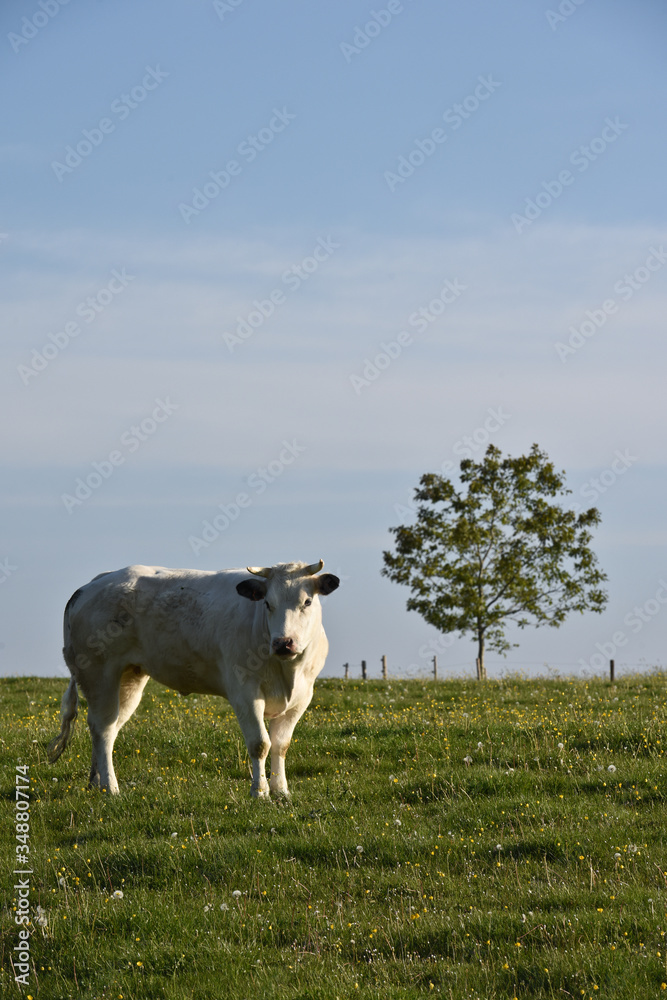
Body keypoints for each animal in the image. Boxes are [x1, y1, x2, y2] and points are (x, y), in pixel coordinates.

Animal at [48, 564, 340, 796]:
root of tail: (94, 584)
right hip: (99, 673)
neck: (286, 671)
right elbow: (260, 744)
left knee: (107, 729)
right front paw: (260, 792)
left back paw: (95, 782)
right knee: (103, 728)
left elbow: (281, 745)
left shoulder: (303, 696)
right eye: (268, 603)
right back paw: (110, 787)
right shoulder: (244, 692)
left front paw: (281, 791)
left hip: (129, 678)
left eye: (307, 602)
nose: (283, 643)